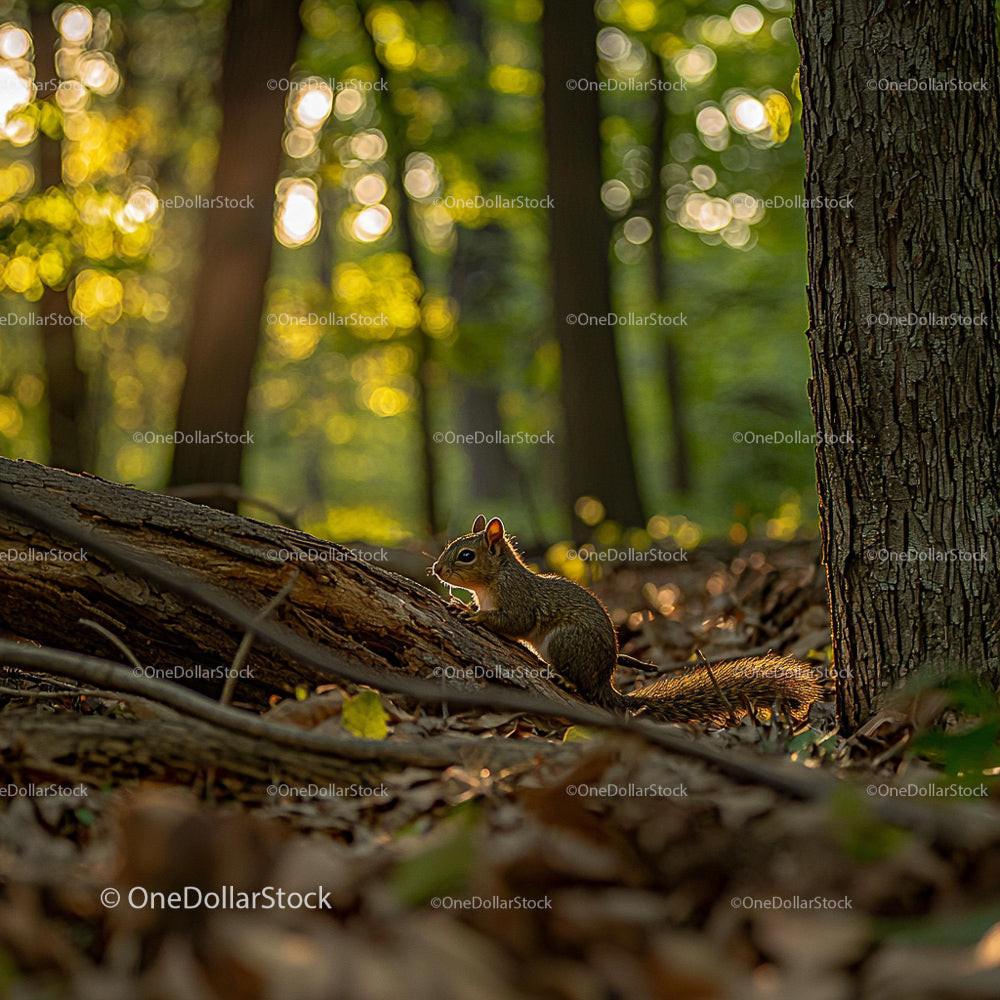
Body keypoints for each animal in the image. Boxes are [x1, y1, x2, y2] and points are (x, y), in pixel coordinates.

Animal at [431, 515, 821, 727]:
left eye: (465, 556)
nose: (435, 569)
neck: (494, 580)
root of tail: (606, 681)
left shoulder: (518, 601)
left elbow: (512, 623)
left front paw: (471, 613)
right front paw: (459, 602)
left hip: (565, 642)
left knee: (582, 684)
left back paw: (565, 678)